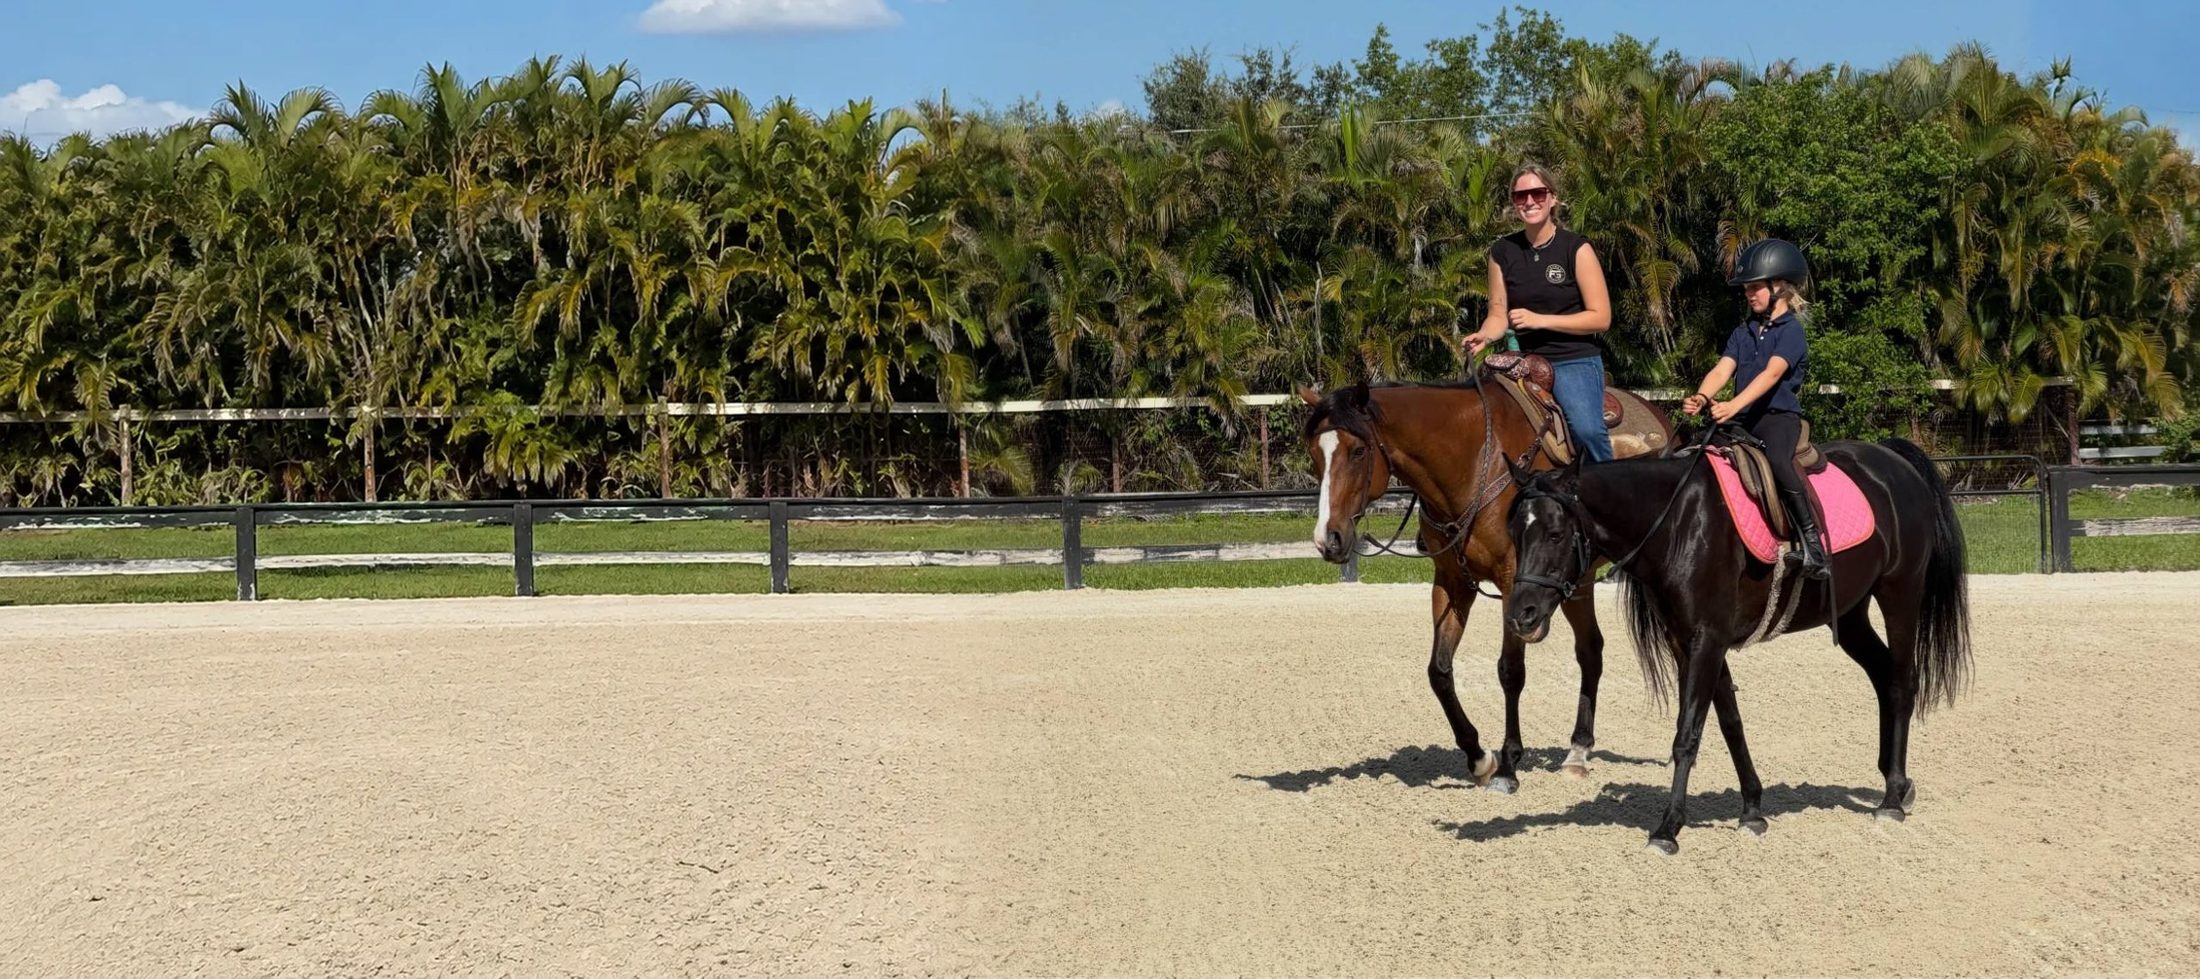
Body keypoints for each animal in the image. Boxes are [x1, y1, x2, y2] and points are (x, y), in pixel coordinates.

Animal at [1296, 378, 1675, 794]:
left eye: (1359, 450)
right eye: (1314, 453)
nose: (1328, 539)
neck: (1475, 462)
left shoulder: (1513, 584)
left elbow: (1511, 671)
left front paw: (1508, 765)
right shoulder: (1451, 583)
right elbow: (1439, 671)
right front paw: (1479, 759)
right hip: (1578, 582)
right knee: (1591, 650)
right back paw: (1577, 751)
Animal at [1499, 430, 1973, 854]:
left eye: (1556, 534)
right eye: (1516, 534)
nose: (1522, 613)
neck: (1677, 521)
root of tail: (1894, 462)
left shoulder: (1706, 640)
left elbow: (1688, 733)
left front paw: (1668, 827)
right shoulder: (1689, 642)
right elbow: (1730, 723)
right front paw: (1752, 809)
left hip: (1900, 596)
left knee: (1901, 682)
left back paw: (1892, 797)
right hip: (1851, 615)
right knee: (1882, 677)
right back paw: (1896, 780)